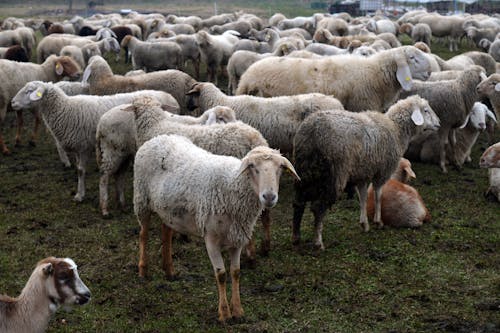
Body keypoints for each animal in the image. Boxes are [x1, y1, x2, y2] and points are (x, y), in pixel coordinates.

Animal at [96, 104, 235, 218]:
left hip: (125, 153)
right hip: (112, 150)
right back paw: (105, 209)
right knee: (104, 176)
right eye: (221, 118)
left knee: (119, 175)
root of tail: (101, 122)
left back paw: (122, 205)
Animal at [133, 134, 296, 320]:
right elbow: (221, 275)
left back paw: (169, 271)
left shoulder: (237, 238)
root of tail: (158, 138)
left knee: (166, 232)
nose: (269, 197)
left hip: (168, 209)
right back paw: (143, 270)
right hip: (142, 199)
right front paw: (224, 314)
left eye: (280, 168)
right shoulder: (210, 238)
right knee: (143, 235)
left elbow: (235, 272)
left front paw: (238, 311)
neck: (232, 186)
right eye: (252, 167)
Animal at [292, 94, 440, 249]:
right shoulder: (382, 172)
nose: (439, 123)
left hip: (304, 172)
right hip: (334, 174)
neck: (396, 129)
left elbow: (362, 197)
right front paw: (378, 222)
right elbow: (378, 196)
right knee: (318, 208)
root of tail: (312, 132)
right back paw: (318, 242)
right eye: (426, 110)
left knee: (298, 203)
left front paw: (364, 224)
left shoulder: (362, 173)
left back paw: (296, 237)